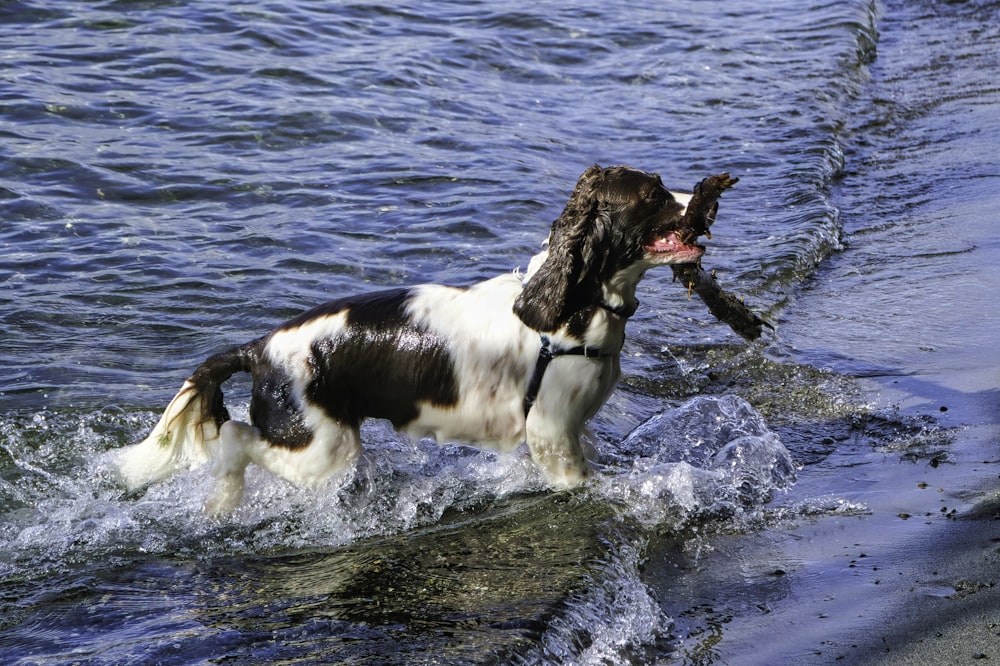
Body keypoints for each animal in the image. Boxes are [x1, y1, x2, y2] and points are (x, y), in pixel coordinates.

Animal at [119, 165, 720, 512]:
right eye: (652, 194)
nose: (704, 203)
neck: (572, 305)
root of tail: (259, 349)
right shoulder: (553, 437)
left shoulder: (572, 429)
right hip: (320, 451)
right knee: (232, 440)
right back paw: (222, 503)